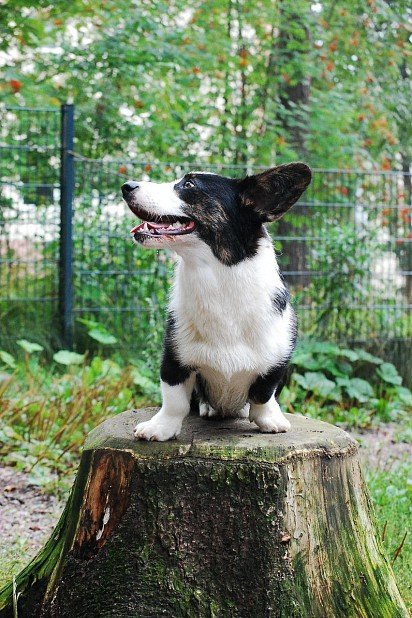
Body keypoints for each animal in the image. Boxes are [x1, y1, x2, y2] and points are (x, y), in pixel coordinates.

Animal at [120, 164, 310, 440]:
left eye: (189, 185)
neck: (217, 280)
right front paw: (161, 428)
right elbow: (174, 399)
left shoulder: (277, 361)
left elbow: (263, 393)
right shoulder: (174, 357)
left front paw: (269, 419)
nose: (126, 186)